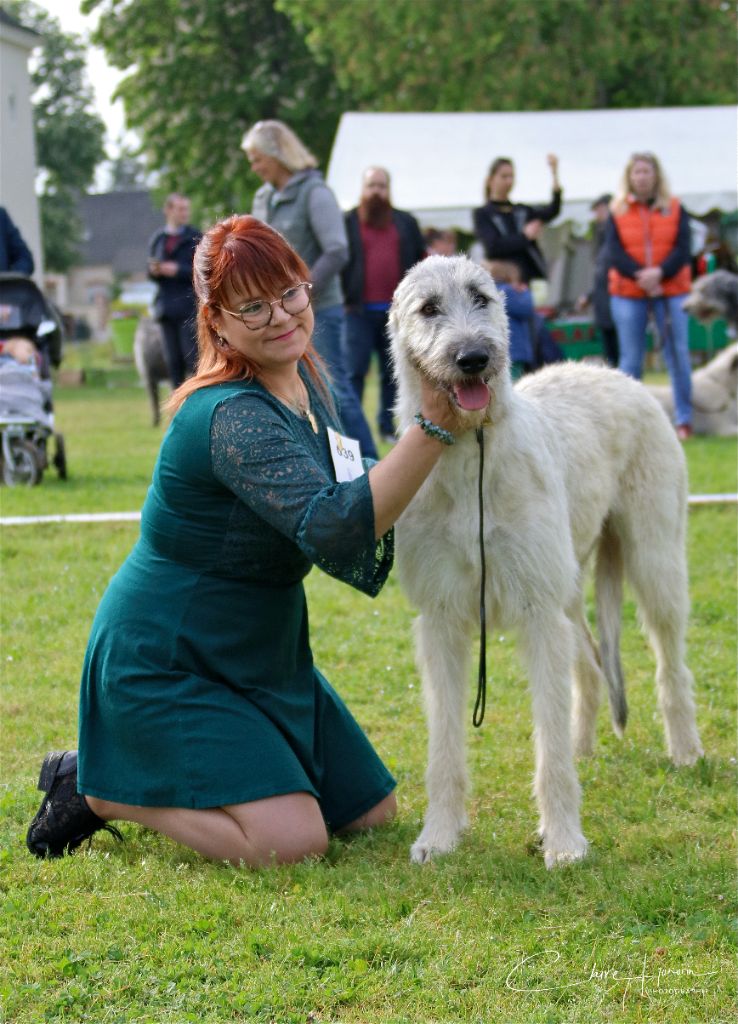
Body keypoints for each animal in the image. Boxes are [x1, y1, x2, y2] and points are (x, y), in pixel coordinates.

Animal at [384, 258, 704, 872]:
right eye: (428, 308)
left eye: (482, 298)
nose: (473, 358)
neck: (472, 456)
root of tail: (620, 375)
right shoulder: (441, 621)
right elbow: (445, 745)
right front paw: (440, 834)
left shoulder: (536, 612)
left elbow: (548, 749)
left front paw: (563, 842)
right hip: (569, 585)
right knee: (590, 667)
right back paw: (587, 746)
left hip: (654, 563)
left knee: (669, 666)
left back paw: (685, 751)